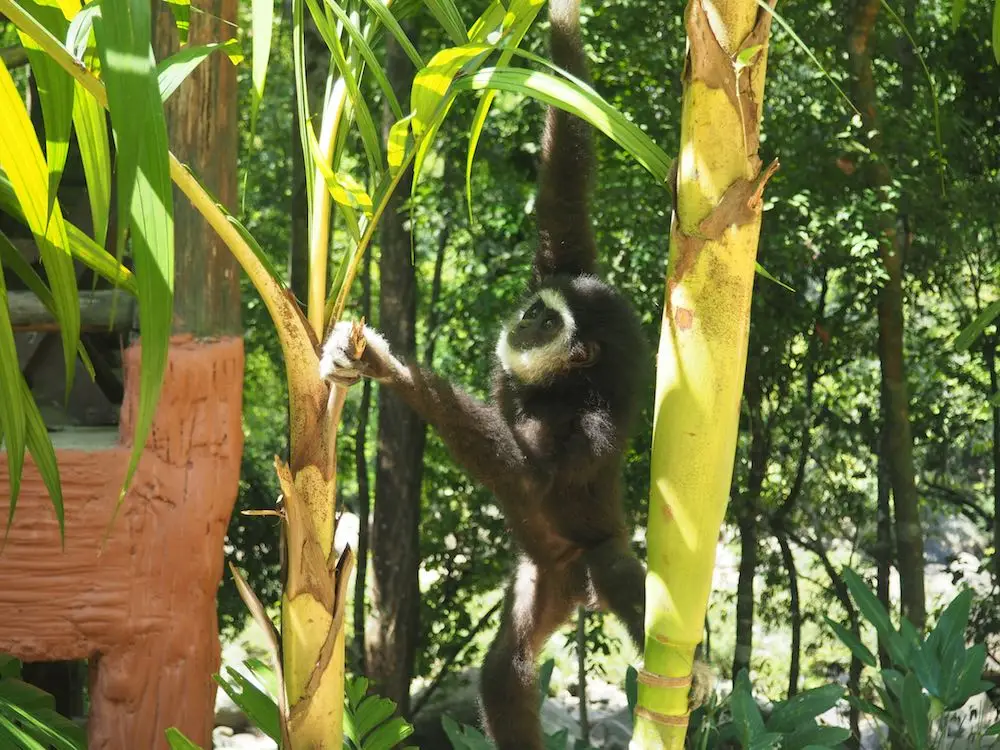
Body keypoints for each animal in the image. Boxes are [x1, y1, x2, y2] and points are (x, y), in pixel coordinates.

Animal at [320, 0, 649, 746]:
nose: (525, 318)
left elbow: (536, 477)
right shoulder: (572, 266)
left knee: (618, 567)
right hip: (541, 578)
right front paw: (560, 19)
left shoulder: (597, 420)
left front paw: (384, 364)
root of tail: (574, 589)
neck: (553, 386)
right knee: (504, 671)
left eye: (551, 325)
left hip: (589, 555)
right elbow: (564, 194)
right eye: (540, 307)